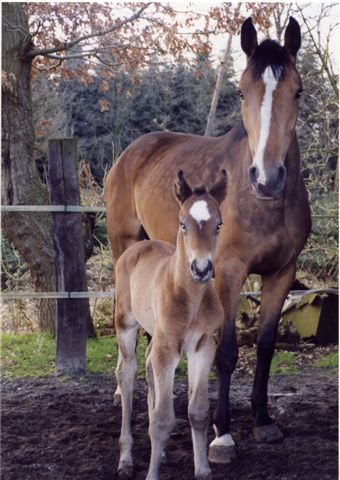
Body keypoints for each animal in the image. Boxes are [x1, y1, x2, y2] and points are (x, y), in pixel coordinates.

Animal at [114, 171, 226, 478]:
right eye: (182, 224)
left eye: (218, 224)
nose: (201, 269)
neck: (191, 300)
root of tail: (139, 246)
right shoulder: (167, 349)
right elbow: (163, 420)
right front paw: (151, 474)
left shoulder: (203, 346)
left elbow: (197, 411)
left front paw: (203, 469)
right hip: (126, 324)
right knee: (126, 373)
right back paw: (125, 459)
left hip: (156, 333)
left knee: (148, 364)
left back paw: (160, 454)